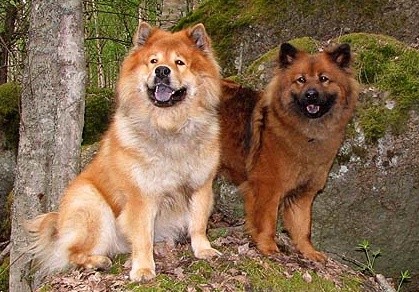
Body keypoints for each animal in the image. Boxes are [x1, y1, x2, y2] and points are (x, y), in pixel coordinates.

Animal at [26, 22, 221, 282]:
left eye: (179, 62)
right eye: (153, 61)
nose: (161, 71)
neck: (169, 127)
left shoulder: (201, 186)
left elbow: (198, 224)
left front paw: (203, 249)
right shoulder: (141, 197)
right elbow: (142, 236)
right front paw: (143, 268)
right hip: (93, 205)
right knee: (72, 253)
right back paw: (98, 261)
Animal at [218, 42, 360, 262]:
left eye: (323, 79)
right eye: (301, 80)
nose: (311, 94)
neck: (307, 133)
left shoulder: (303, 193)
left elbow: (303, 227)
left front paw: (308, 251)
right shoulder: (268, 186)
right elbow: (267, 221)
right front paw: (268, 247)